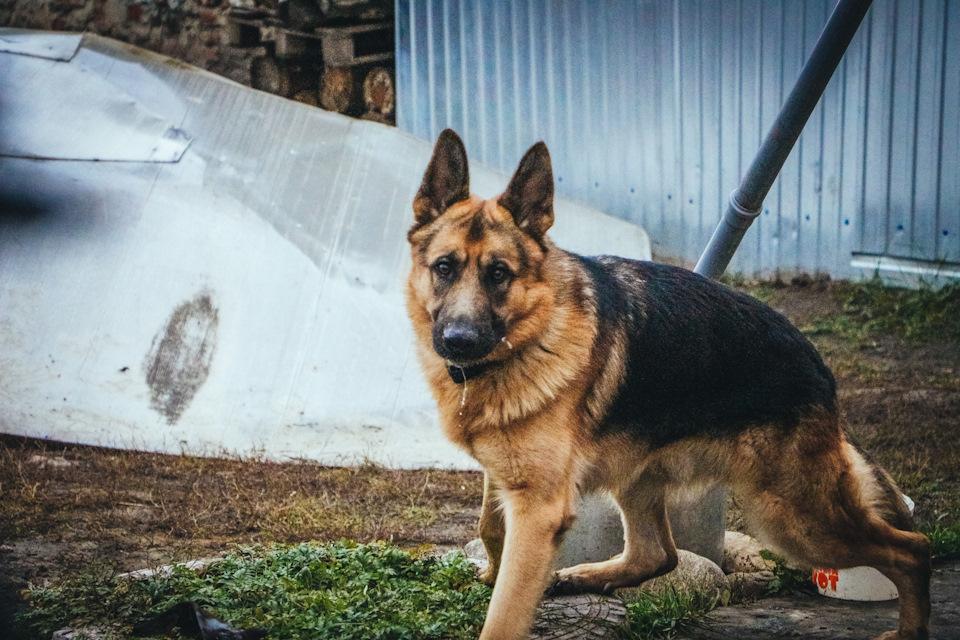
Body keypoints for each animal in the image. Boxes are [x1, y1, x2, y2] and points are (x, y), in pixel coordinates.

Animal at [404, 130, 928, 640]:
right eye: (444, 267)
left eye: (499, 274)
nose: (458, 340)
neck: (533, 331)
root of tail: (818, 366)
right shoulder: (510, 479)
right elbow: (490, 527)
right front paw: (492, 571)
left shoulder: (538, 509)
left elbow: (506, 612)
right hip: (641, 477)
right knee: (658, 556)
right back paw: (586, 575)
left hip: (794, 519)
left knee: (913, 548)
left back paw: (909, 629)